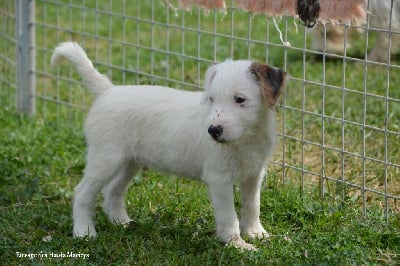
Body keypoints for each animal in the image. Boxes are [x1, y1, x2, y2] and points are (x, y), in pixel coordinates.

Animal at [50, 41, 288, 249]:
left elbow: (252, 205)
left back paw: (121, 222)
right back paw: (84, 231)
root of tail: (109, 91)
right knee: (82, 193)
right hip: (105, 160)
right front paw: (236, 244)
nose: (213, 130)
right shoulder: (219, 179)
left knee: (113, 190)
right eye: (211, 99)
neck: (246, 138)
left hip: (130, 162)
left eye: (240, 99)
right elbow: (228, 216)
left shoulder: (254, 175)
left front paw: (255, 233)